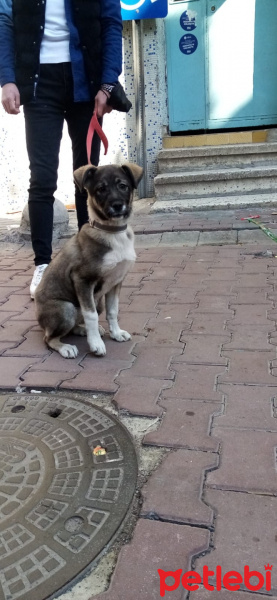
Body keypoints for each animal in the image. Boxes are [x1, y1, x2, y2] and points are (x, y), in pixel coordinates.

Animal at [34, 162, 142, 358]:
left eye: (123, 186)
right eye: (101, 189)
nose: (117, 205)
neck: (112, 231)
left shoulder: (116, 282)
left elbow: (113, 311)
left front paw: (116, 333)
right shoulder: (83, 280)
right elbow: (90, 315)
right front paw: (96, 344)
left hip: (97, 302)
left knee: (74, 325)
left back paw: (83, 330)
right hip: (66, 308)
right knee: (49, 338)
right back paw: (66, 347)